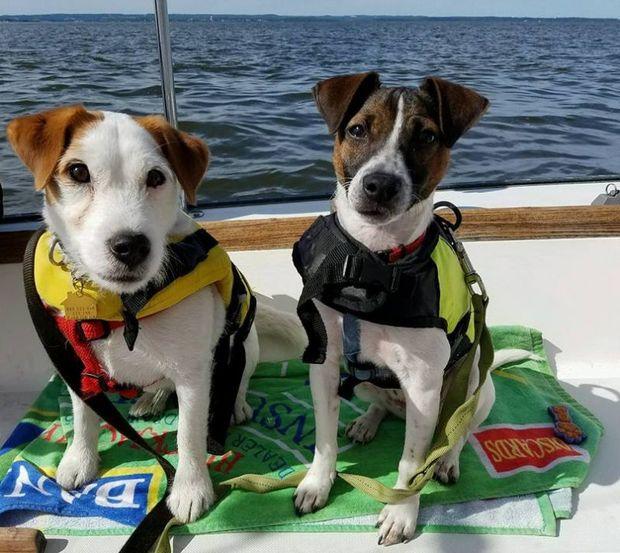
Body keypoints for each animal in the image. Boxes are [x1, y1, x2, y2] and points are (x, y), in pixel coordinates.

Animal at [294, 73, 532, 544]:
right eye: (357, 130)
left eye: (426, 137)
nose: (380, 185)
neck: (371, 261)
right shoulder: (324, 363)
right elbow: (325, 438)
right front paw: (317, 482)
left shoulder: (424, 387)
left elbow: (410, 462)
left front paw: (401, 511)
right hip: (368, 385)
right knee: (380, 403)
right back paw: (367, 421)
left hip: (476, 390)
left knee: (457, 433)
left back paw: (447, 461)